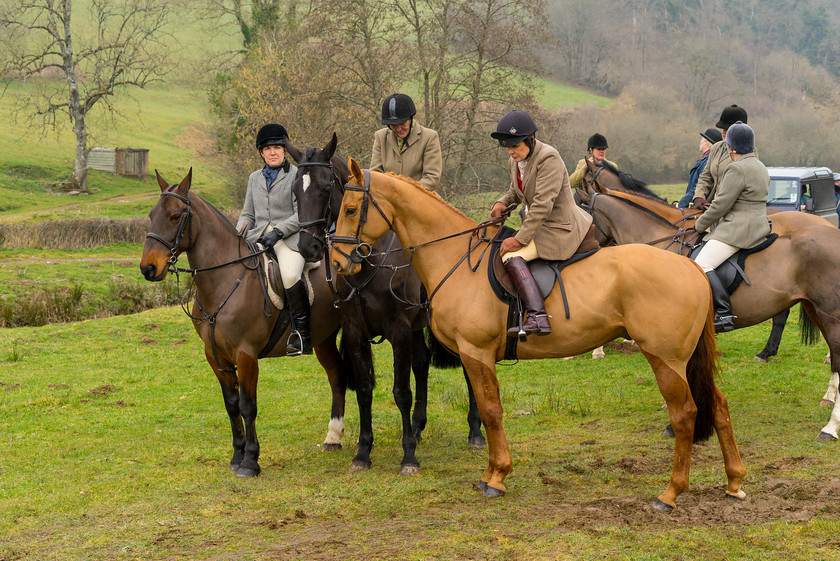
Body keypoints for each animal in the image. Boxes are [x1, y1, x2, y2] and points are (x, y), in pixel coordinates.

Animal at [330, 155, 748, 510]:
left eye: (350, 209)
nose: (336, 263)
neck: (456, 258)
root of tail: (691, 267)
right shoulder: (471, 355)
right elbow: (487, 409)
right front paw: (492, 471)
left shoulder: (475, 352)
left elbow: (491, 411)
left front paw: (497, 476)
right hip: (683, 359)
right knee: (719, 406)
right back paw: (733, 482)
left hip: (665, 359)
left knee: (685, 414)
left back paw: (671, 493)